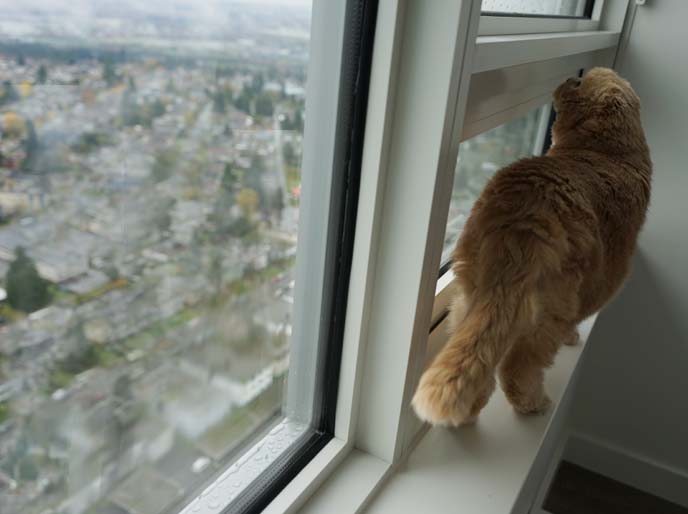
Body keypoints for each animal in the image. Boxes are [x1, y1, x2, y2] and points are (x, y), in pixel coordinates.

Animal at [412, 67, 652, 424]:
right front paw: (573, 337)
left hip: (470, 293)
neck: (604, 151)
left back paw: (469, 413)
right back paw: (533, 403)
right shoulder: (609, 277)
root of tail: (522, 216)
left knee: (477, 353)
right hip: (552, 310)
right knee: (516, 367)